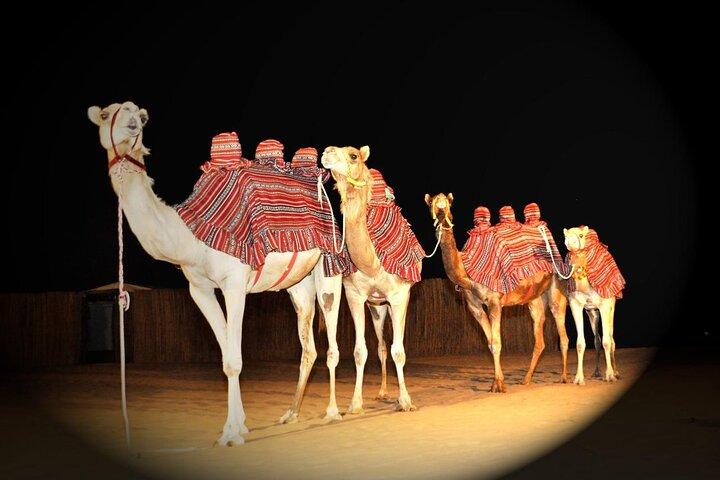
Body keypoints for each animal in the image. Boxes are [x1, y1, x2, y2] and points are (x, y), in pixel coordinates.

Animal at [88, 101, 344, 446]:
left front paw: (231, 433)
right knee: (308, 346)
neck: (191, 236)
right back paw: (290, 413)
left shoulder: (234, 283)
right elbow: (225, 357)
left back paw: (332, 412)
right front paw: (239, 425)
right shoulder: (200, 288)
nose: (132, 124)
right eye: (106, 115)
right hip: (298, 283)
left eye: (138, 116)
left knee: (331, 344)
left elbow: (234, 361)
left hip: (329, 267)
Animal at [320, 146, 421, 412]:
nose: (327, 153)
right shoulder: (354, 296)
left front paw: (406, 401)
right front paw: (355, 403)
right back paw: (384, 391)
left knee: (392, 345)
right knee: (382, 346)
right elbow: (360, 352)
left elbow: (400, 352)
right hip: (376, 306)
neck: (372, 263)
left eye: (353, 155)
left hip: (394, 303)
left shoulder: (399, 295)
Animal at [424, 193, 570, 392]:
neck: (467, 271)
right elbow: (490, 343)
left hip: (556, 286)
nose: (440, 208)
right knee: (539, 335)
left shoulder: (495, 302)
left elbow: (497, 342)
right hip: (534, 298)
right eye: (431, 202)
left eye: (448, 202)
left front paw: (499, 385)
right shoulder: (474, 307)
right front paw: (497, 383)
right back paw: (526, 379)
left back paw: (564, 377)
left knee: (562, 333)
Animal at [564, 226, 624, 384]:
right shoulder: (576, 305)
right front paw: (579, 378)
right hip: (592, 312)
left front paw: (610, 375)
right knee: (597, 339)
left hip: (611, 306)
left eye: (580, 235)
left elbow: (607, 342)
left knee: (611, 338)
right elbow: (580, 343)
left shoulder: (604, 305)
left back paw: (616, 372)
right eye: (565, 235)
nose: (569, 241)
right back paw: (597, 372)